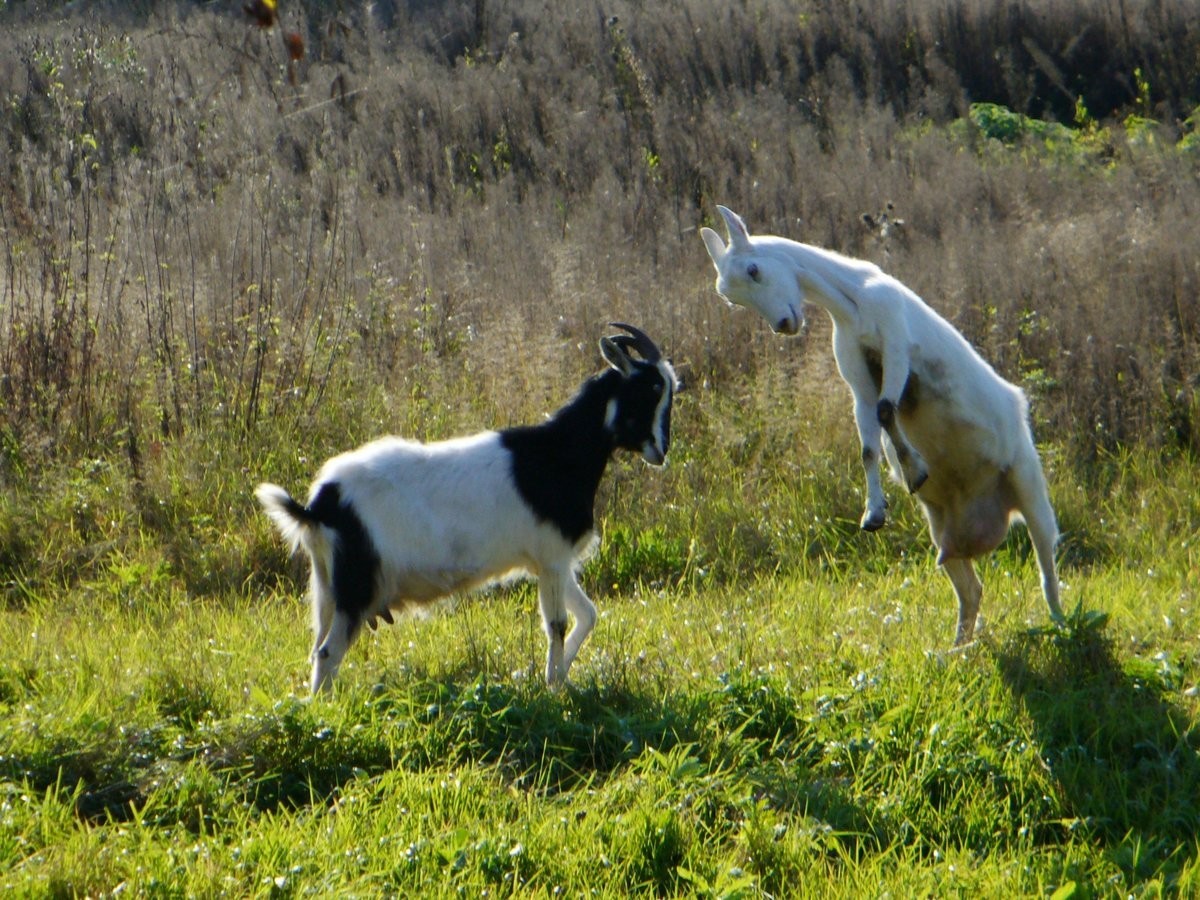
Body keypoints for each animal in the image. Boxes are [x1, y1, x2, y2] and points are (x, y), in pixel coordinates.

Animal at [254, 324, 681, 691]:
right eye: (652, 388)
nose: (661, 451)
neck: (557, 455)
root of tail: (319, 505)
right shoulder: (553, 556)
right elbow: (557, 625)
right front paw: (555, 687)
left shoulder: (545, 562)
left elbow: (588, 614)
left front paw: (561, 678)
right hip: (356, 583)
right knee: (328, 653)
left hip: (327, 585)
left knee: (317, 647)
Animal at [700, 206, 1065, 643]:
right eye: (730, 297)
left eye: (754, 269)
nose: (784, 324)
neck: (854, 300)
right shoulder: (858, 378)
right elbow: (868, 443)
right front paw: (874, 513)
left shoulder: (896, 346)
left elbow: (888, 410)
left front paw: (916, 470)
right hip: (942, 533)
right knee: (972, 590)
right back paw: (957, 648)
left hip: (1029, 484)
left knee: (1047, 566)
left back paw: (1063, 627)